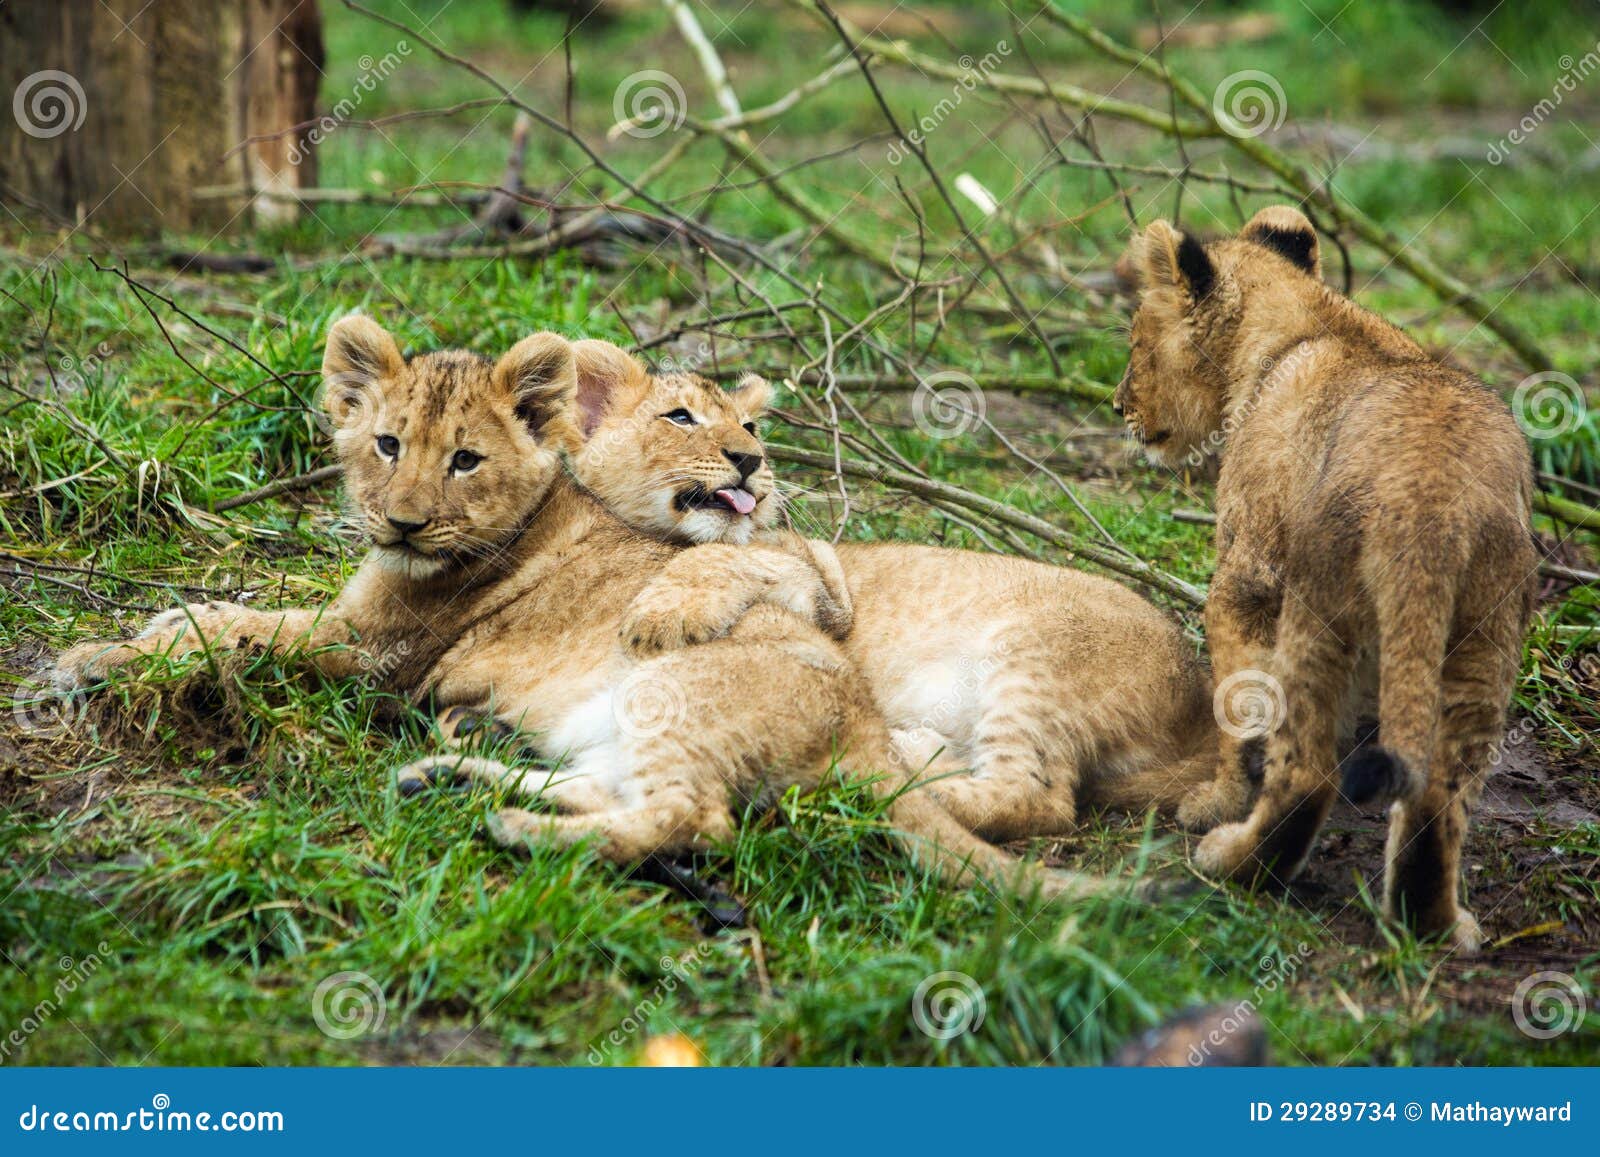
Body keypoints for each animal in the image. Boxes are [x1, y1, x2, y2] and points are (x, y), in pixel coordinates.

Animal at [53, 318, 1103, 902]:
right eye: (388, 443)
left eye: (464, 459)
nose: (402, 520)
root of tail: (870, 728)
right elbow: (231, 611)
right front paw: (153, 628)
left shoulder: (373, 650)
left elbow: (245, 632)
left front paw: (96, 656)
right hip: (606, 725)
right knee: (614, 790)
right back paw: (449, 778)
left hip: (670, 692)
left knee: (688, 820)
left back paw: (514, 831)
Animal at [555, 344, 1221, 844]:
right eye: (679, 418)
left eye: (749, 427)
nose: (751, 459)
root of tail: (1201, 695)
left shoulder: (825, 592)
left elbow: (726, 555)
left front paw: (661, 616)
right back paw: (914, 747)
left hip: (1034, 654)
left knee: (1037, 798)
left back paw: (887, 781)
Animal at [1116, 205, 1537, 951]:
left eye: (1137, 343)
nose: (1117, 407)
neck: (1301, 327)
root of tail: (1434, 502)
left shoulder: (1247, 576)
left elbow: (1238, 704)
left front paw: (1215, 800)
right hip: (1485, 629)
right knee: (1437, 797)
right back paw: (1435, 924)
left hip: (1319, 601)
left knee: (1308, 772)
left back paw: (1233, 861)